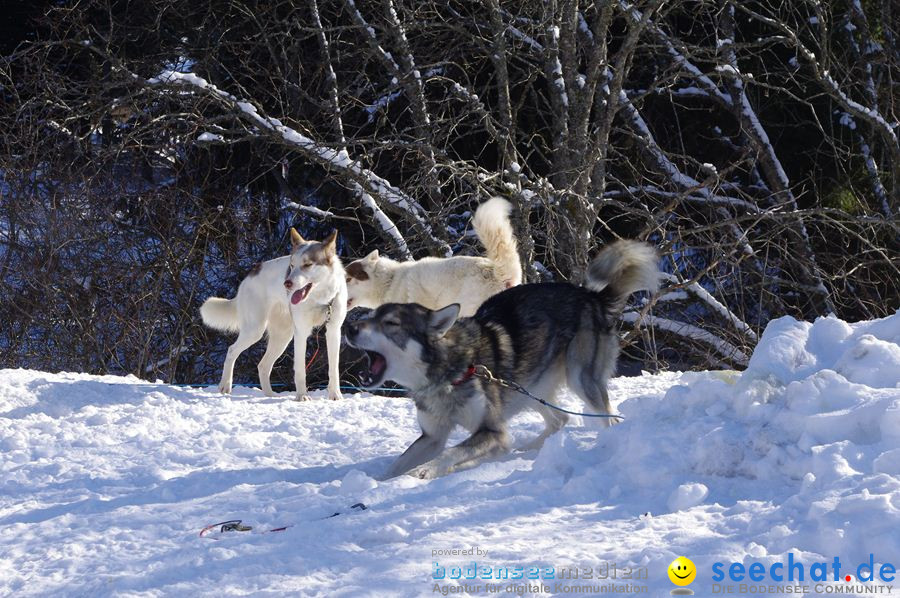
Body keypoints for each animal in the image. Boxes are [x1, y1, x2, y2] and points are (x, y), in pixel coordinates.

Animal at [201, 230, 348, 404]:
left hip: (282, 337)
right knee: (231, 351)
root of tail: (250, 275)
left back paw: (270, 395)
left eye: (307, 265)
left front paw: (335, 395)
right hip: (255, 330)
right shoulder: (301, 333)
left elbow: (334, 368)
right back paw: (225, 386)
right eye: (292, 265)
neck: (320, 299)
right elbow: (300, 370)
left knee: (263, 365)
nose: (287, 283)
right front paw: (301, 396)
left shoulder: (333, 331)